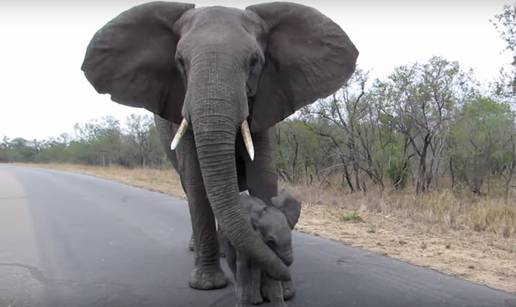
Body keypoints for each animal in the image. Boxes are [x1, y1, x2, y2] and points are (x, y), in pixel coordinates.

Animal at [82, 1, 358, 292]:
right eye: (180, 62)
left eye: (255, 61)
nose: (281, 259)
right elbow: (197, 184)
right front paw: (208, 285)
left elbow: (263, 177)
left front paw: (281, 289)